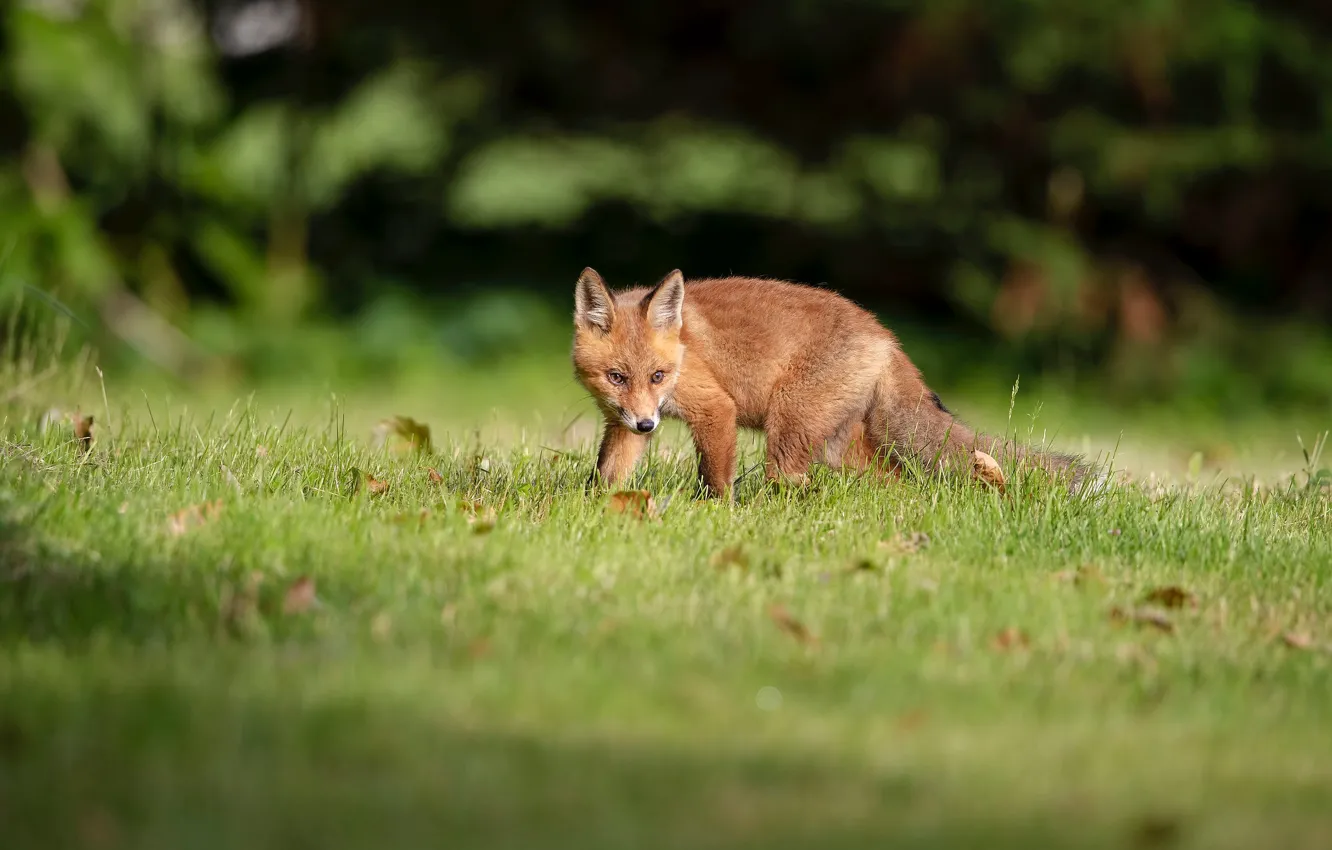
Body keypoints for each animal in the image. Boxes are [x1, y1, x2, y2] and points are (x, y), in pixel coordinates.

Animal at [571, 267, 1094, 498]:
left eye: (658, 376)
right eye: (617, 377)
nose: (647, 426)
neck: (683, 352)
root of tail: (885, 337)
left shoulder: (716, 409)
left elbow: (716, 481)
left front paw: (717, 515)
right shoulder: (622, 424)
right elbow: (607, 476)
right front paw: (598, 509)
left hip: (790, 429)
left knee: (790, 478)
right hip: (839, 448)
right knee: (895, 480)